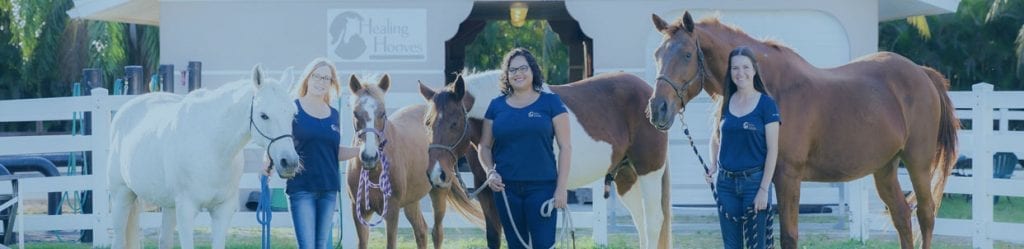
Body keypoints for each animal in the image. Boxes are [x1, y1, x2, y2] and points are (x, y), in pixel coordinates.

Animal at [108, 65, 301, 247]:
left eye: (293, 114)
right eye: (264, 115)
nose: (289, 162)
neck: (213, 147)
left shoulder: (222, 210)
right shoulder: (186, 210)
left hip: (168, 205)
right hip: (121, 196)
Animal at [348, 74, 483, 249]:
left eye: (383, 113)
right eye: (355, 113)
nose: (369, 156)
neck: (375, 172)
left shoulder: (392, 211)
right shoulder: (359, 213)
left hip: (439, 192)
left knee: (437, 233)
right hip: (411, 200)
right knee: (421, 231)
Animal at [415, 70, 671, 249]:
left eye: (454, 123)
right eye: (427, 123)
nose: (436, 174)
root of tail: (650, 94)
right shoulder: (487, 191)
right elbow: (494, 237)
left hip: (649, 172)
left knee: (653, 221)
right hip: (626, 176)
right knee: (640, 220)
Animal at [647, 11, 958, 249]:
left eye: (687, 54)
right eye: (657, 54)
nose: (657, 108)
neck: (772, 88)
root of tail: (922, 73)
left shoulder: (788, 176)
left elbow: (789, 236)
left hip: (918, 163)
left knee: (926, 215)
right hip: (884, 168)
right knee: (902, 216)